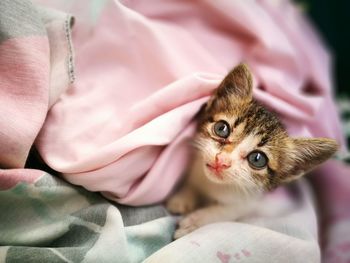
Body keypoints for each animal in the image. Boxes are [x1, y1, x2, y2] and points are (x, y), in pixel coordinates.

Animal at [167, 63, 340, 239]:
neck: (212, 186)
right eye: (221, 128)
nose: (222, 160)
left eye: (257, 159)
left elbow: (226, 211)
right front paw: (183, 197)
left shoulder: (251, 201)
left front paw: (195, 221)